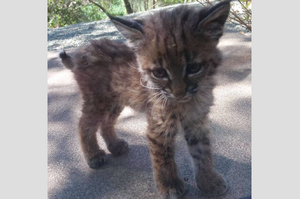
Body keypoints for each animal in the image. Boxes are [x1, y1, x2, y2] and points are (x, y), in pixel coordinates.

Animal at [59, 1, 232, 197]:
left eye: (194, 67)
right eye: (159, 72)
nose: (179, 93)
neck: (190, 99)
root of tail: (83, 49)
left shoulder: (197, 119)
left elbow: (203, 152)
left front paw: (209, 181)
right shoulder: (160, 124)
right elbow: (162, 156)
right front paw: (169, 185)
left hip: (115, 100)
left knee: (106, 122)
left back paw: (115, 145)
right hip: (98, 100)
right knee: (84, 124)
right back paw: (93, 155)